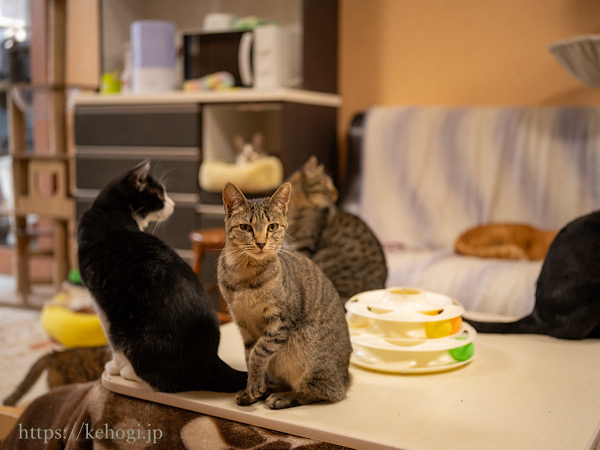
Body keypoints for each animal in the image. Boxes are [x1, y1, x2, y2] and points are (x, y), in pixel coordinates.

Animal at [219, 181, 352, 410]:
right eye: (246, 227)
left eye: (272, 227)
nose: (261, 242)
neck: (245, 275)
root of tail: (345, 377)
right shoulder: (243, 323)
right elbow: (249, 355)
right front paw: (253, 388)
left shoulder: (281, 320)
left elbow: (259, 352)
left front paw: (255, 385)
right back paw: (270, 389)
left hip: (307, 352)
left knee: (324, 392)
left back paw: (283, 397)